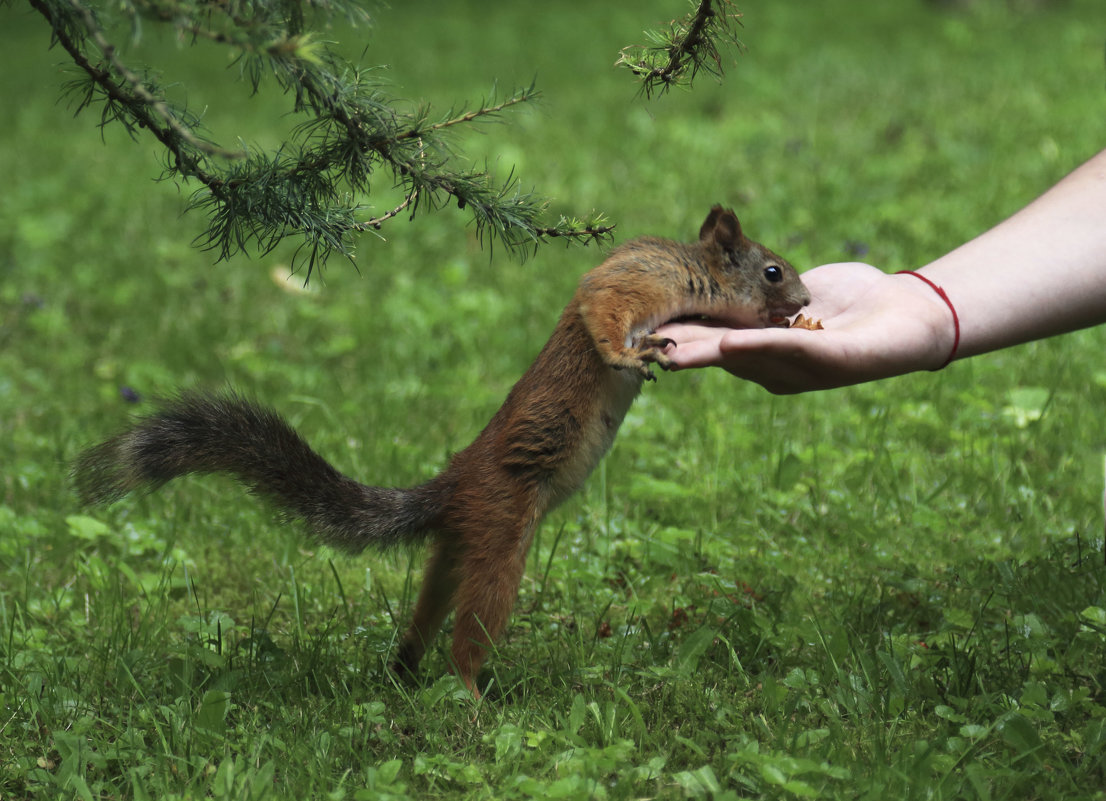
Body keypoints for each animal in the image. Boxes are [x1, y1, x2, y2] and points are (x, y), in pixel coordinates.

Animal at [71, 206, 814, 694]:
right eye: (773, 271)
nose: (806, 299)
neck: (691, 269)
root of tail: (455, 484)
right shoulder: (636, 277)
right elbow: (599, 309)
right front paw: (625, 355)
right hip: (502, 535)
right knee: (470, 631)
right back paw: (468, 694)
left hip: (460, 544)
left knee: (429, 606)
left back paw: (403, 670)